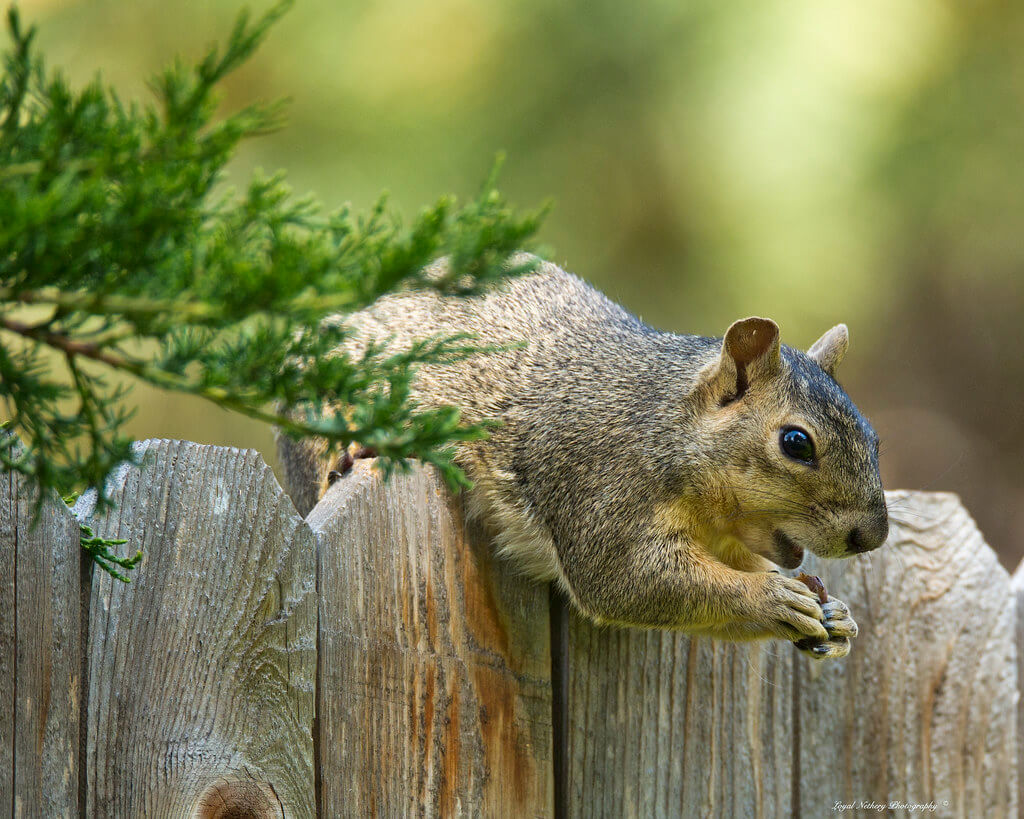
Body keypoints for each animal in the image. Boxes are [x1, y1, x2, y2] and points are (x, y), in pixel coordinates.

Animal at [280, 259, 888, 663]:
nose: (873, 536)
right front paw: (771, 599)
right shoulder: (600, 486)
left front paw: (835, 617)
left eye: (875, 438)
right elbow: (628, 582)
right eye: (796, 443)